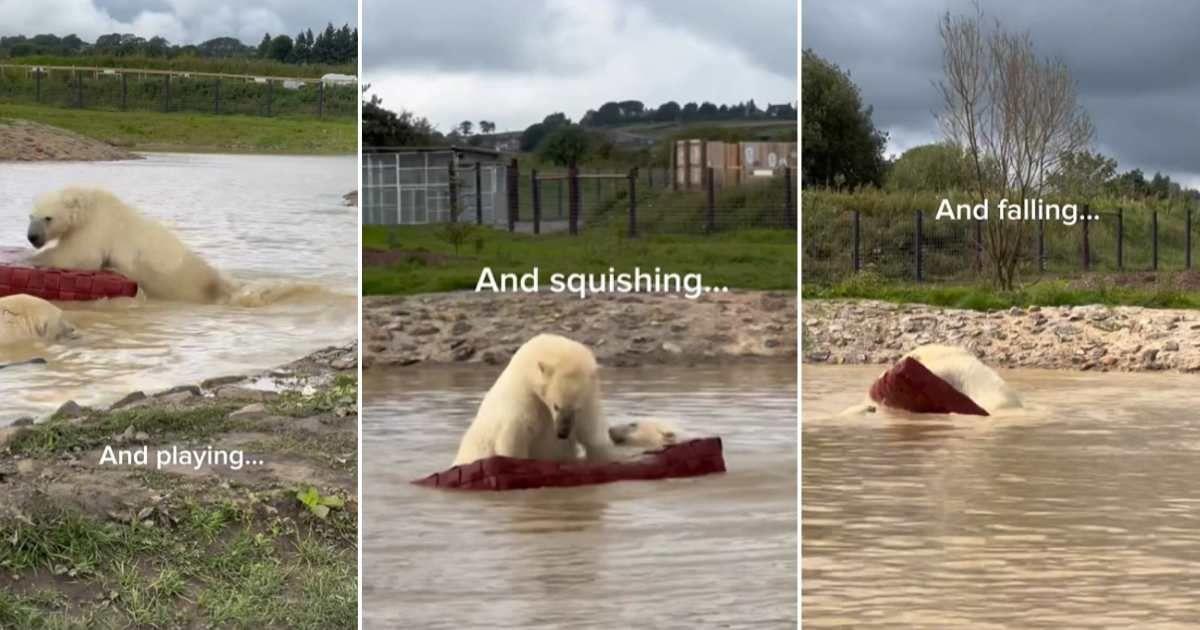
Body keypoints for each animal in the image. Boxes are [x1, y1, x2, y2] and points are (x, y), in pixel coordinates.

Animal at [26, 187, 234, 304]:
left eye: (48, 218)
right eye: (31, 216)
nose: (32, 237)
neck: (89, 205)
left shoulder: (97, 227)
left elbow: (79, 257)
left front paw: (31, 258)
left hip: (184, 282)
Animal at [452, 334, 681, 466]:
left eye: (576, 409)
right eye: (556, 406)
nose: (562, 433)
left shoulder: (590, 399)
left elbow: (595, 439)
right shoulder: (522, 403)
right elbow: (513, 441)